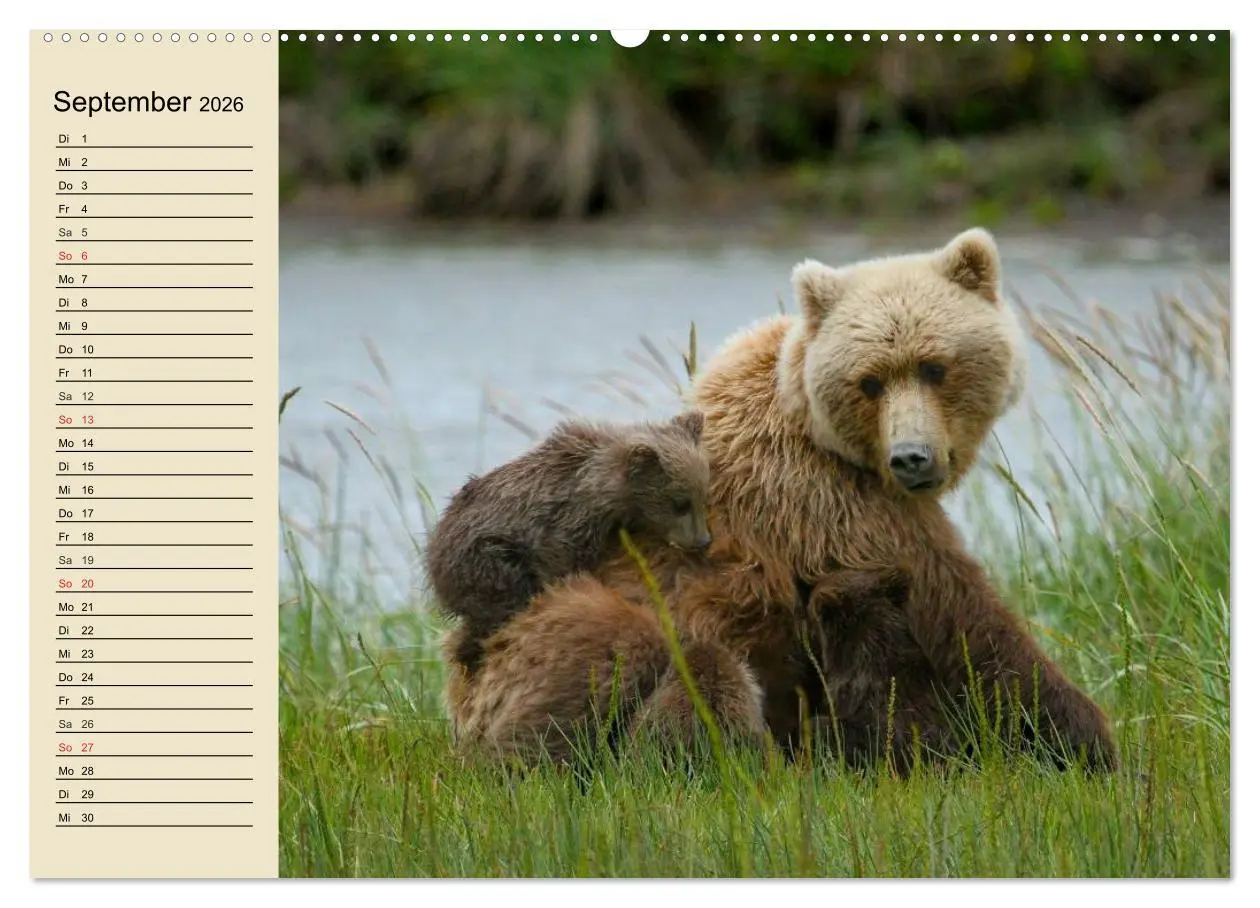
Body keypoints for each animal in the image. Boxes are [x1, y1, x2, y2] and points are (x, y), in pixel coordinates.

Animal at [425, 409, 713, 678]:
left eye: (702, 497)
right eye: (680, 503)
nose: (703, 541)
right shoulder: (564, 524)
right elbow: (560, 562)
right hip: (485, 558)